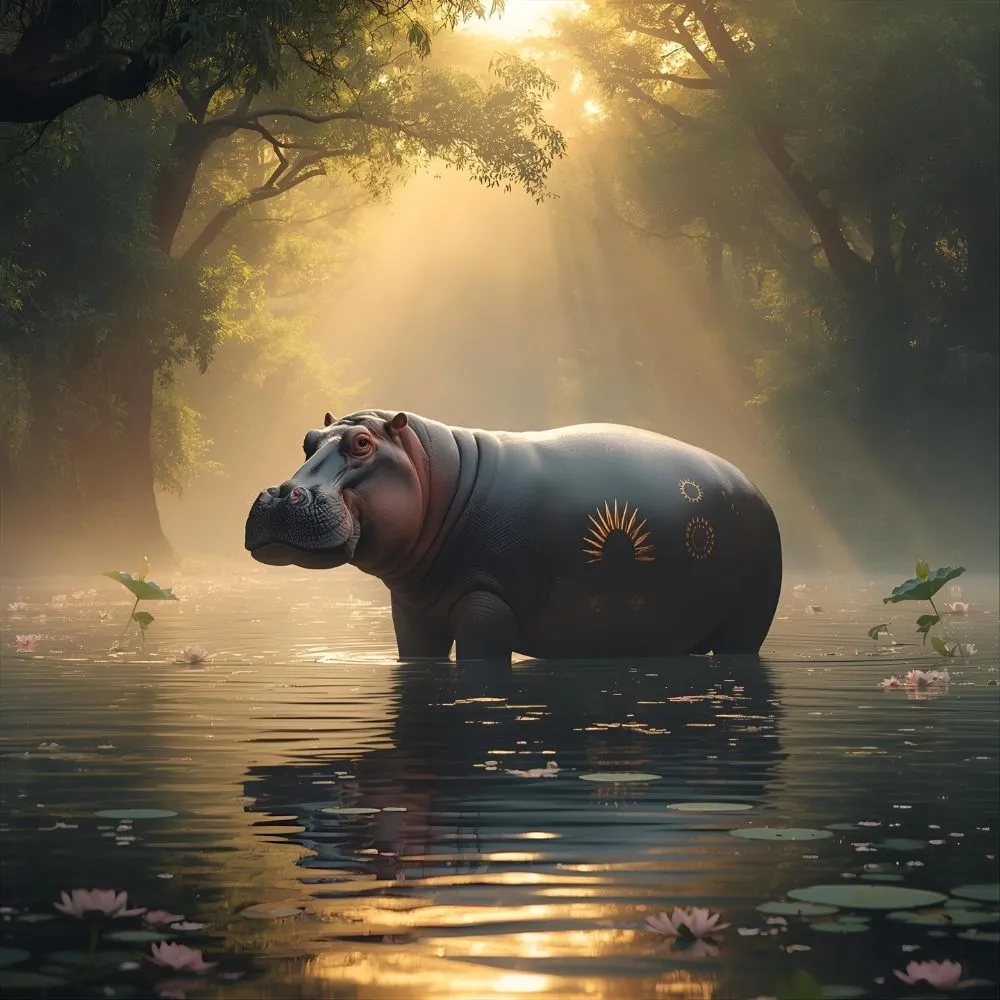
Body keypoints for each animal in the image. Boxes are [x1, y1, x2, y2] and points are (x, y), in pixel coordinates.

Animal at [245, 410, 782, 662]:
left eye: (361, 443)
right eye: (308, 440)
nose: (281, 493)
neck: (442, 481)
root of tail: (752, 484)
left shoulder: (488, 603)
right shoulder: (413, 611)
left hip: (749, 615)